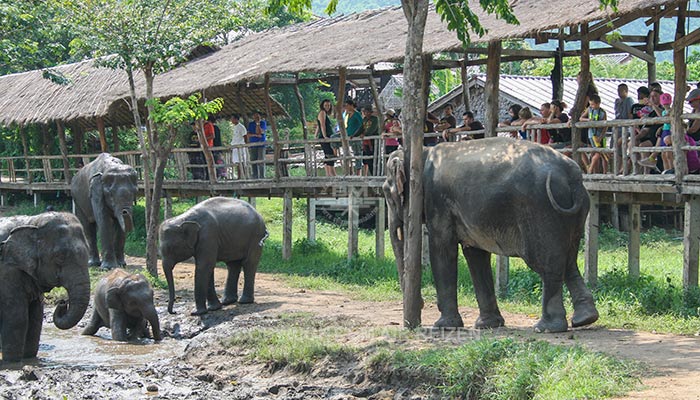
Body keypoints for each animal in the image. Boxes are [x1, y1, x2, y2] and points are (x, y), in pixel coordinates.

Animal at [0, 212, 91, 362]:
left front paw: (29, 359)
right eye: (60, 256)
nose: (63, 302)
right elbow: (17, 318)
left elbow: (36, 318)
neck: (32, 222)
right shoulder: (8, 270)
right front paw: (12, 362)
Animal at [386, 139, 600, 332]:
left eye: (386, 192)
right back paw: (585, 319)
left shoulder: (437, 200)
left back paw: (547, 328)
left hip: (542, 209)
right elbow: (475, 254)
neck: (422, 151)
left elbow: (442, 248)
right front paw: (487, 325)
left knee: (548, 263)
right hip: (575, 212)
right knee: (569, 261)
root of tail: (573, 176)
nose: (420, 305)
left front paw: (444, 326)